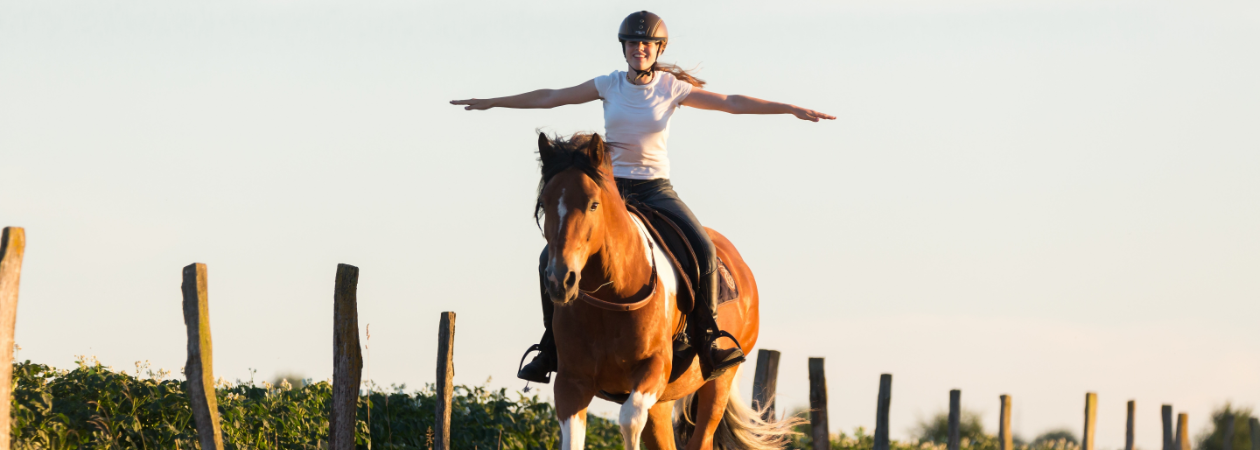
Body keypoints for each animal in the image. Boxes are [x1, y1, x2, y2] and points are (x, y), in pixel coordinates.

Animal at [534, 132, 796, 448]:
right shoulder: (571, 382)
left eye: (593, 204)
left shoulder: (653, 368)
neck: (611, 295)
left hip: (717, 385)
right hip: (663, 402)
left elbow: (629, 420)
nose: (560, 280)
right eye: (544, 203)